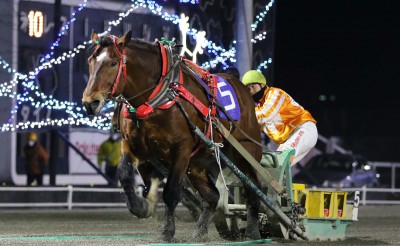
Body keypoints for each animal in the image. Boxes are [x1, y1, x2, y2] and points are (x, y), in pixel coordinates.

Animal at [81, 30, 262, 240]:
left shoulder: (181, 149)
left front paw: (167, 230)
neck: (160, 96)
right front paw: (140, 206)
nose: (90, 102)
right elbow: (125, 173)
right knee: (213, 195)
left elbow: (171, 191)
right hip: (196, 164)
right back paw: (200, 230)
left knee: (253, 189)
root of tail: (242, 89)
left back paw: (253, 230)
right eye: (90, 61)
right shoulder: (134, 145)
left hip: (244, 153)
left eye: (113, 62)